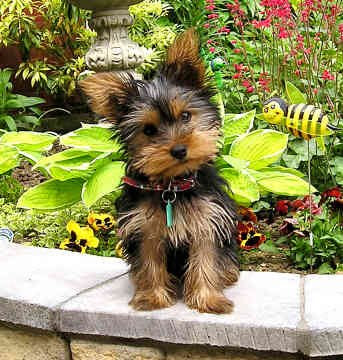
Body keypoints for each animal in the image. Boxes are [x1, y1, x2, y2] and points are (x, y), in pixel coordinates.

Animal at [80, 29, 239, 314]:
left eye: (186, 116)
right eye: (149, 130)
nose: (179, 150)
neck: (172, 186)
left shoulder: (208, 220)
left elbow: (206, 258)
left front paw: (208, 299)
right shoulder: (143, 227)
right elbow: (149, 260)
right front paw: (152, 297)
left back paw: (228, 273)